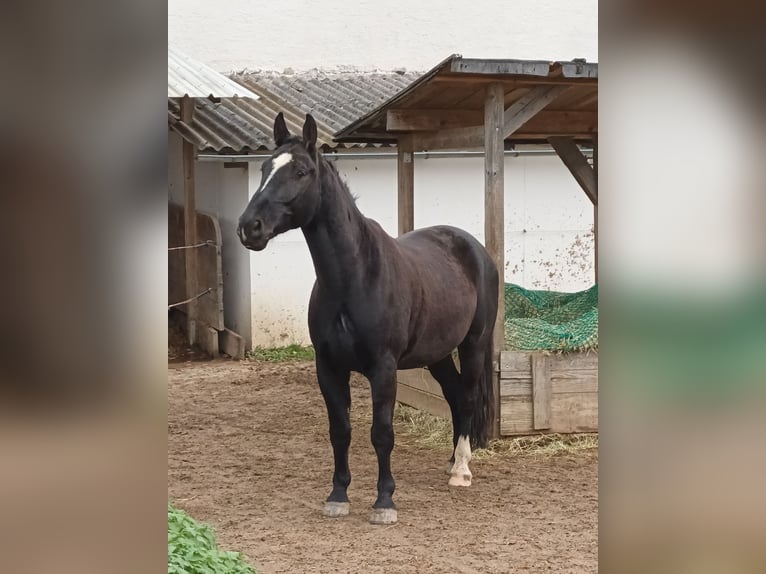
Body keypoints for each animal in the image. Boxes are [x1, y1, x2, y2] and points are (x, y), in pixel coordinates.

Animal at [240, 112, 500, 528]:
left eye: (300, 171)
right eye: (265, 168)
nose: (250, 227)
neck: (354, 276)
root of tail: (473, 246)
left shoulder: (384, 368)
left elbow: (382, 433)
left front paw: (384, 501)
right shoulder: (328, 368)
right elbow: (340, 430)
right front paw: (338, 496)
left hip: (473, 344)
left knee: (470, 397)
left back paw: (461, 469)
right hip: (438, 354)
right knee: (456, 396)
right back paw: (450, 463)